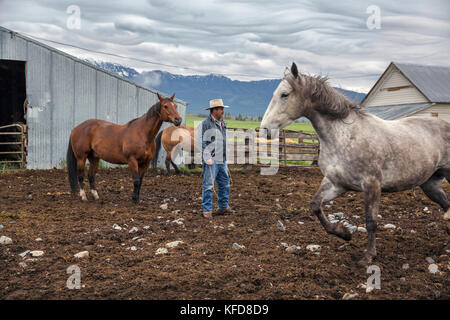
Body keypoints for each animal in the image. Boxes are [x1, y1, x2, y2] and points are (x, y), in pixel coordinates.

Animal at [260, 62, 450, 264]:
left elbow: (371, 221)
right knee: (447, 205)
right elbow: (315, 205)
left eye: (284, 94)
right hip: (430, 184)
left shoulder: (372, 185)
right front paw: (344, 233)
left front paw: (368, 256)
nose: (265, 129)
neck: (344, 137)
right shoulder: (336, 183)